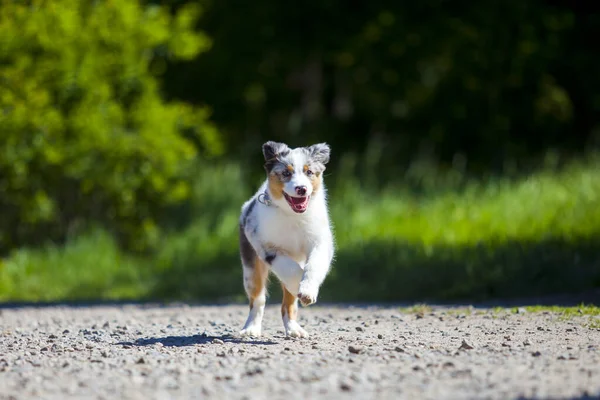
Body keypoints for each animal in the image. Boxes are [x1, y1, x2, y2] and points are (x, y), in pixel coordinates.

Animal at [237, 141, 336, 338]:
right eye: (286, 173)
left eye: (309, 172)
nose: (301, 189)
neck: (293, 216)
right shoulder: (267, 247)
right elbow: (291, 271)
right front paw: (300, 286)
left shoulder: (320, 242)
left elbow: (314, 266)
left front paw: (307, 290)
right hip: (251, 269)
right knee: (257, 299)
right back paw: (251, 328)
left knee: (288, 304)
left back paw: (294, 329)